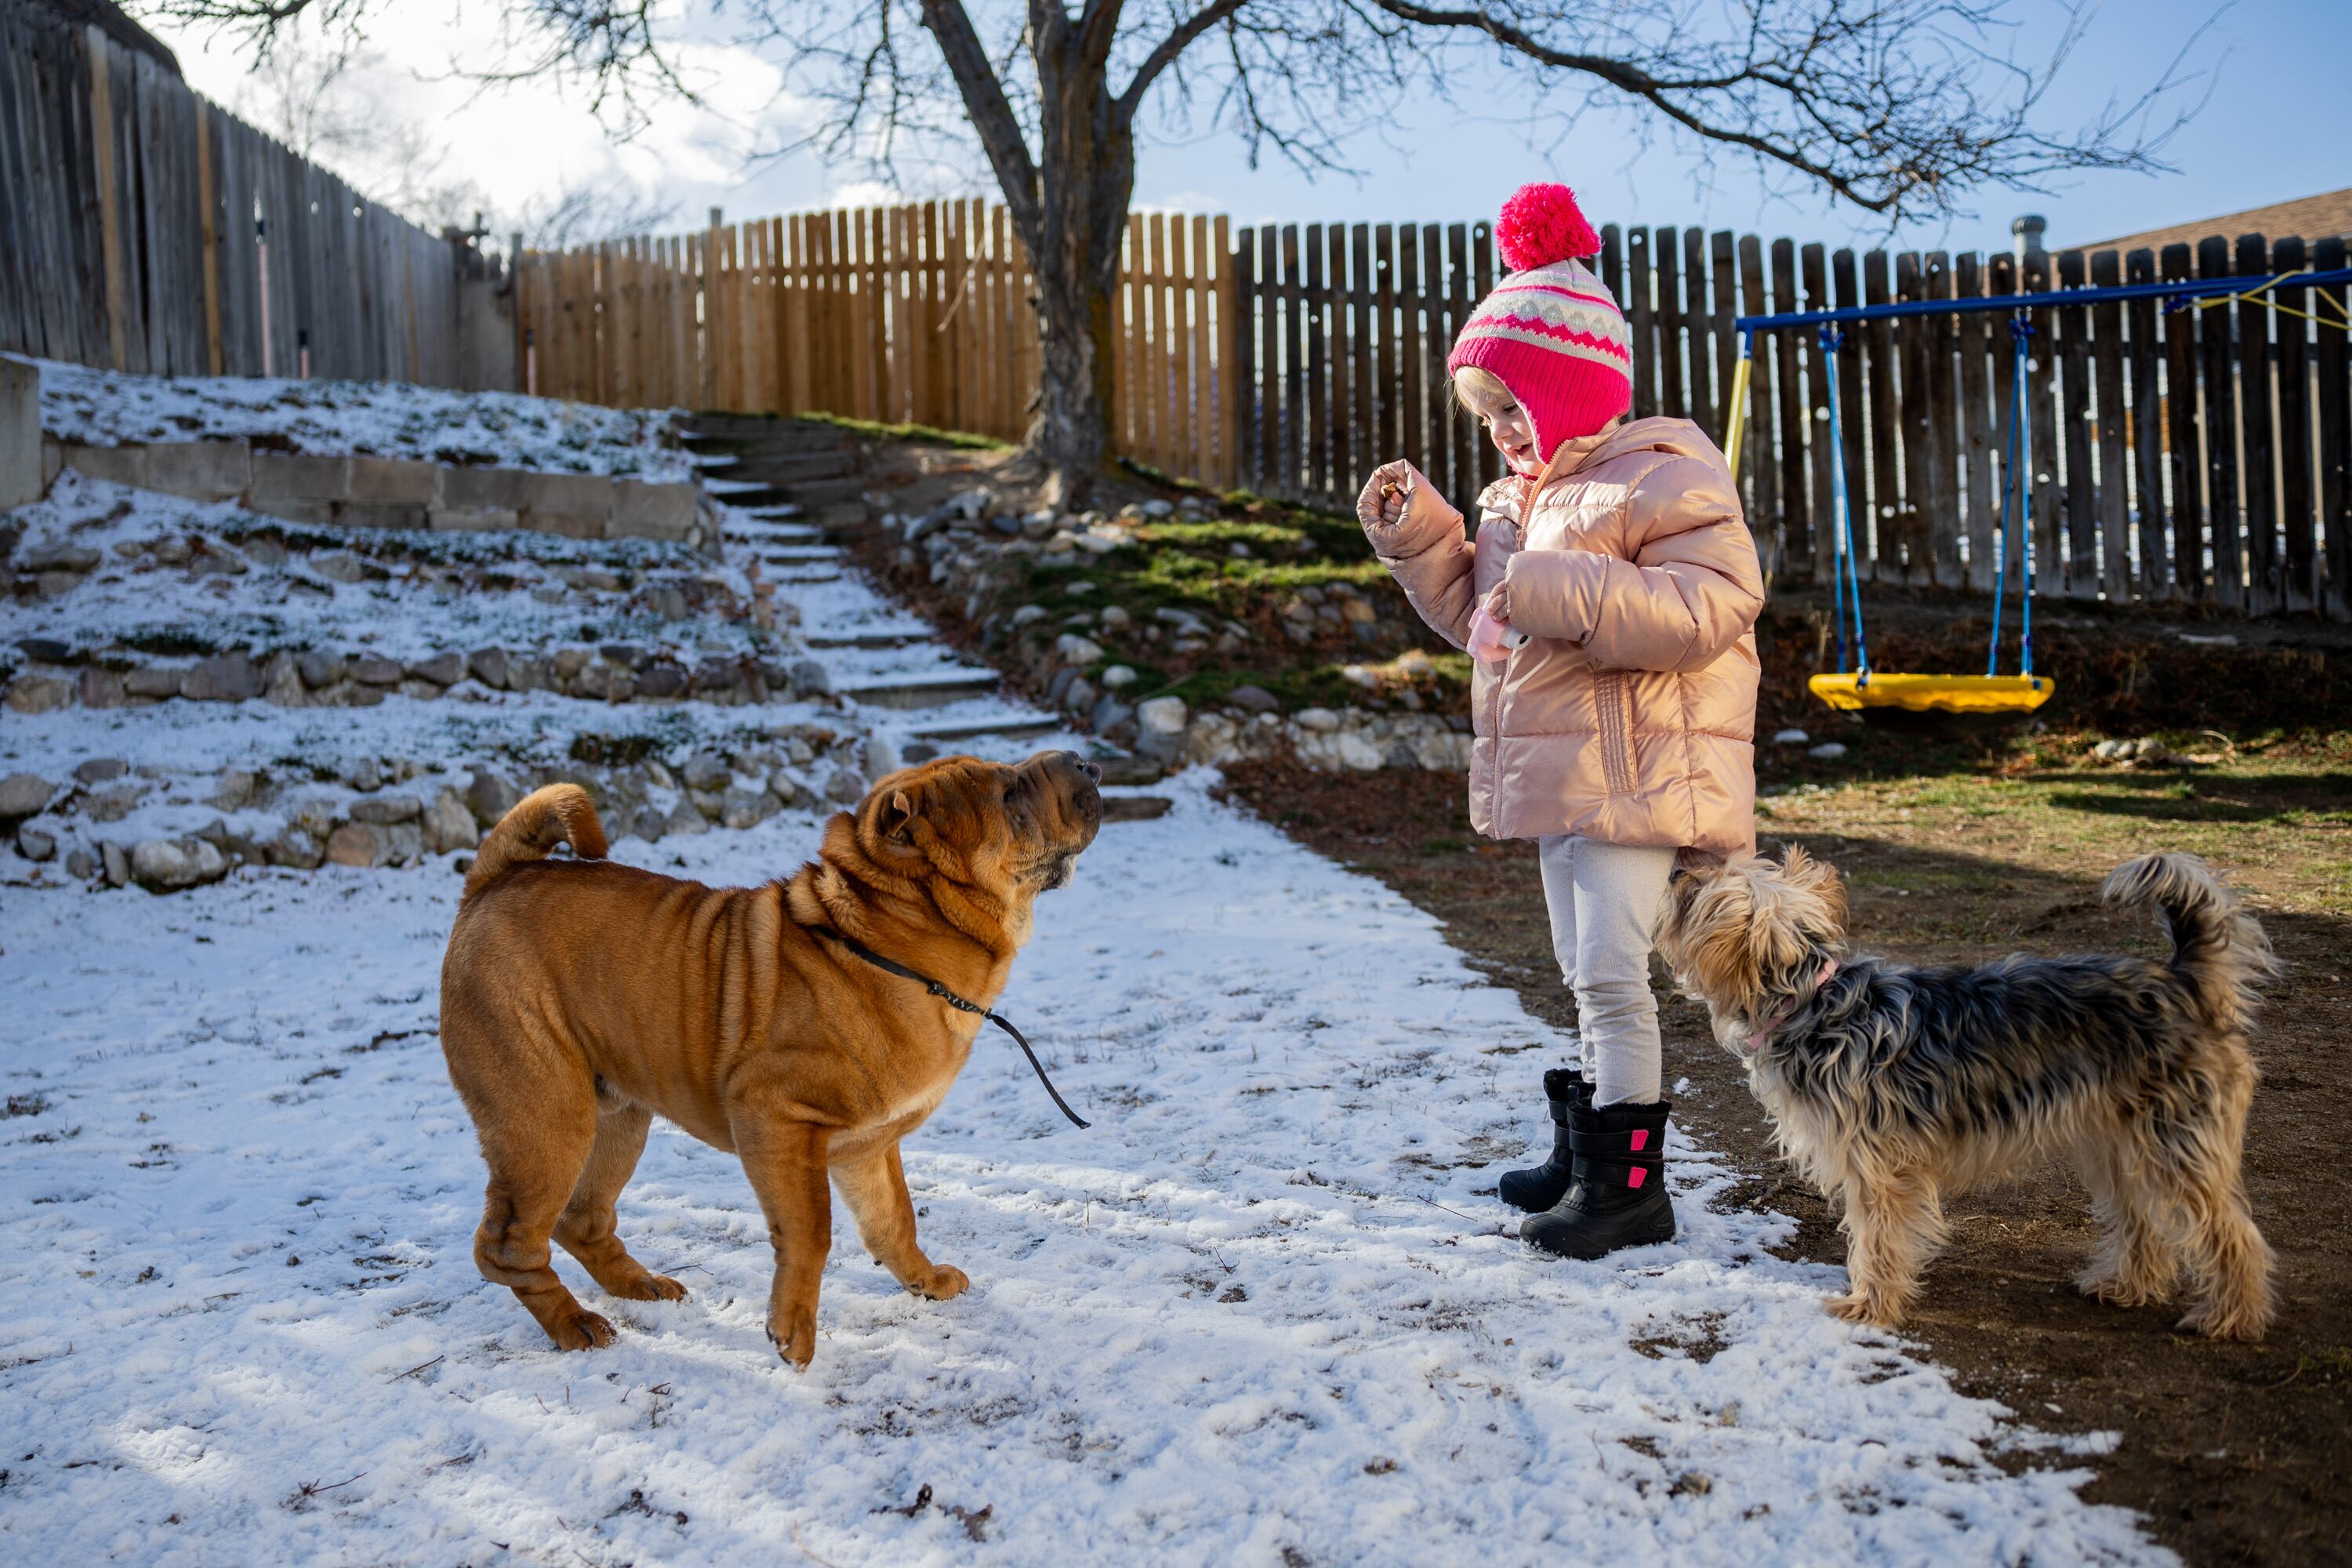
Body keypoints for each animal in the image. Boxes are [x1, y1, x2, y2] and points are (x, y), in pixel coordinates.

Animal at [1656, 851, 2277, 1345]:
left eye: (1699, 892)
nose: (1677, 869)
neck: (1813, 999)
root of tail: (2183, 981)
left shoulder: (1878, 1167)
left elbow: (1878, 1238)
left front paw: (1870, 1307)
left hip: (2175, 1136)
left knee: (2231, 1230)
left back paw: (2232, 1317)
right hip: (2117, 1141)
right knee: (2140, 1214)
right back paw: (2126, 1287)